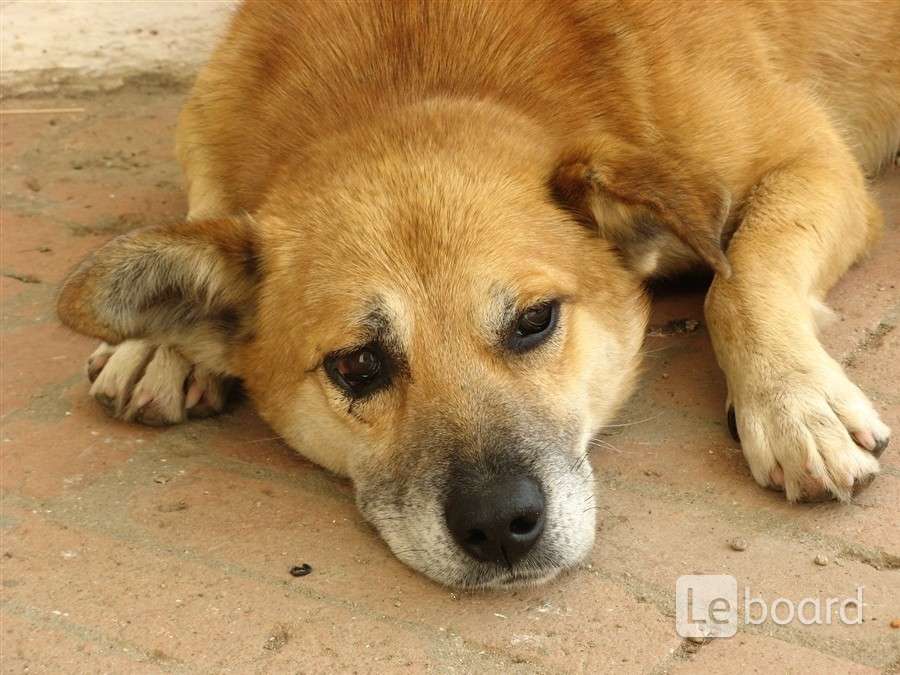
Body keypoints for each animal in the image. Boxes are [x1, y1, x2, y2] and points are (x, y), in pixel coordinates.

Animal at [56, 0, 892, 588]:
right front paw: (159, 344)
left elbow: (738, 275)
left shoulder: (815, 161)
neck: (410, 69)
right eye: (356, 365)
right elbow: (207, 202)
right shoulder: (208, 116)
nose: (499, 526)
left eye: (534, 320)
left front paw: (792, 402)